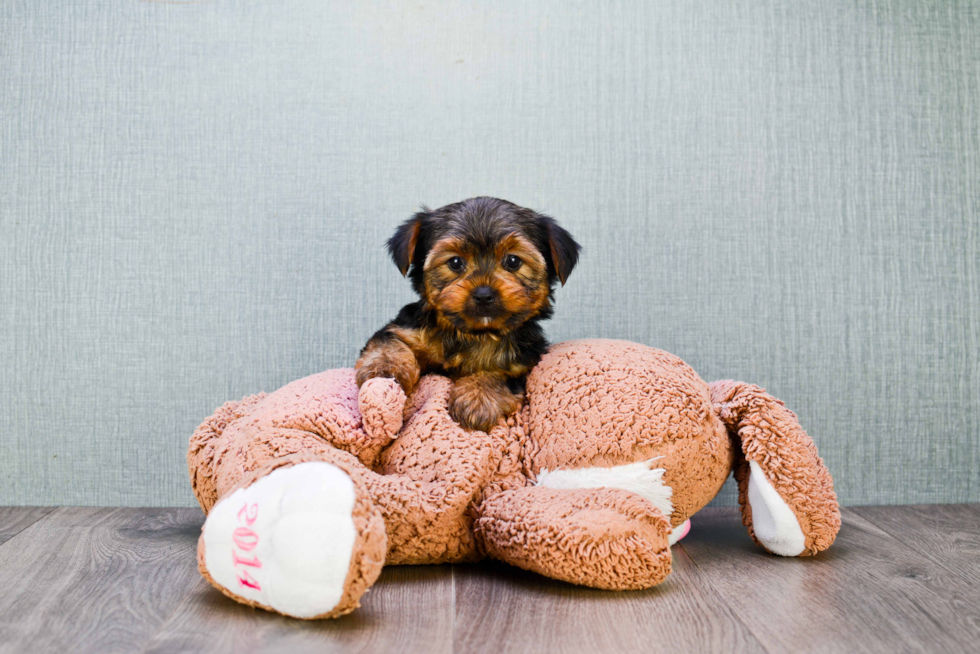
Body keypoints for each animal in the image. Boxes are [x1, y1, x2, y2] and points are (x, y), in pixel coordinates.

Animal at [356, 200, 580, 436]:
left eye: (513, 261)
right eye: (455, 262)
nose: (483, 294)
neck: (474, 333)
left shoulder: (522, 361)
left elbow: (499, 373)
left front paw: (477, 397)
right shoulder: (406, 327)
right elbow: (389, 340)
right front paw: (384, 368)